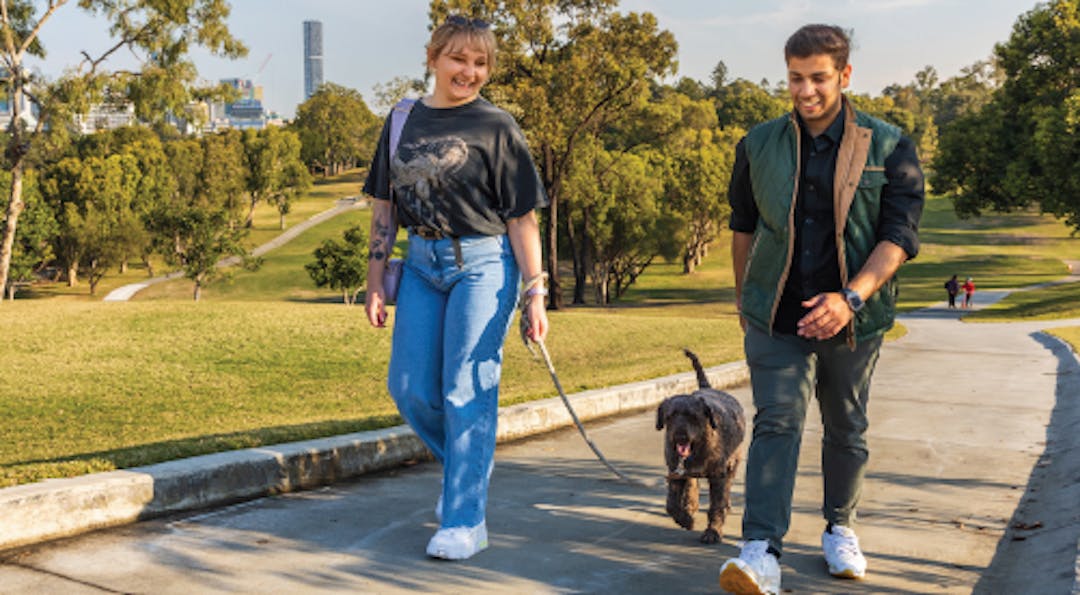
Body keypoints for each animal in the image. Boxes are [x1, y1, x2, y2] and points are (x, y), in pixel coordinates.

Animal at [652, 349, 747, 544]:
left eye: (693, 416)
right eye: (670, 416)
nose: (680, 437)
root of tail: (707, 388)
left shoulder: (718, 476)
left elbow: (717, 504)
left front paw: (713, 531)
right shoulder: (675, 473)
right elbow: (671, 504)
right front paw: (685, 519)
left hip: (733, 463)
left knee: (727, 487)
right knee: (692, 484)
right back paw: (690, 504)